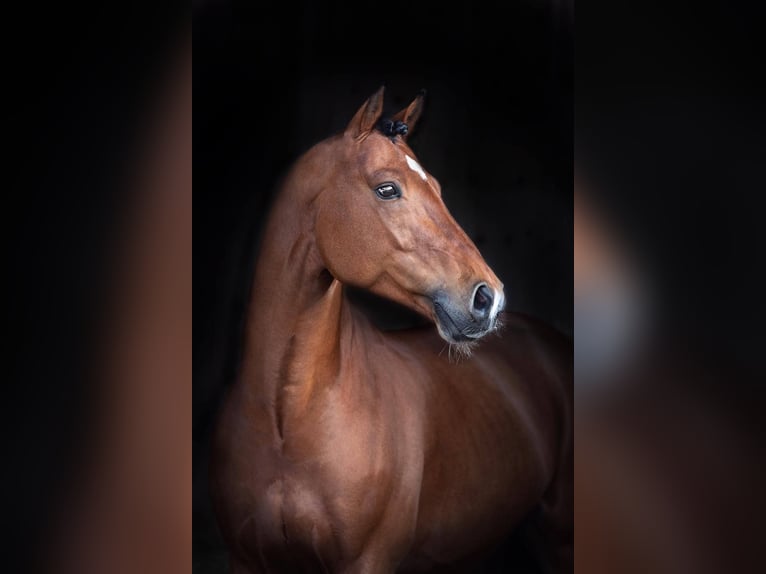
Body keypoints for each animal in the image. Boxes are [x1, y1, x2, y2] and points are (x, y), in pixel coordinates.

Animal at [213, 88, 572, 572]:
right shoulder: (245, 559)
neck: (286, 420)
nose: (489, 298)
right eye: (387, 189)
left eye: (436, 188)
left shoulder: (368, 561)